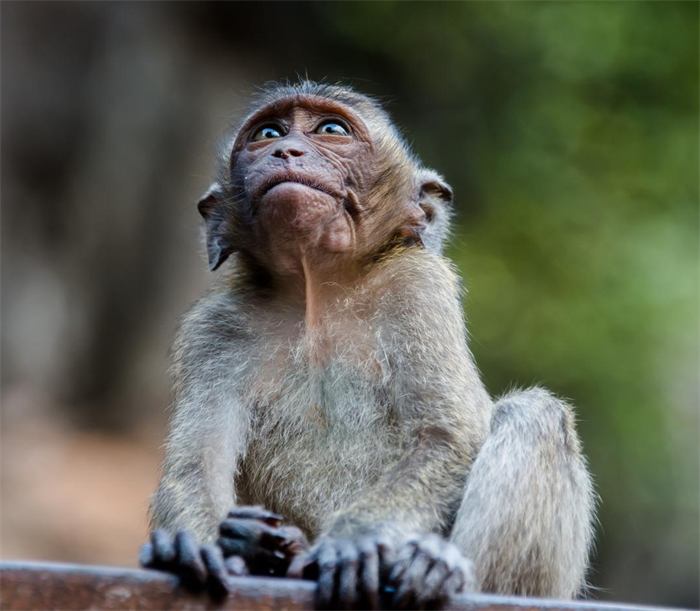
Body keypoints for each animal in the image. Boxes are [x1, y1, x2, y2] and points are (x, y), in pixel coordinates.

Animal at [140, 81, 595, 610]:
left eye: (331, 129)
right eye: (268, 133)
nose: (285, 150)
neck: (315, 296)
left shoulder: (416, 287)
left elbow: (445, 436)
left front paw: (352, 540)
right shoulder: (213, 330)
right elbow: (195, 466)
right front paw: (192, 545)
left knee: (536, 415)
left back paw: (436, 567)